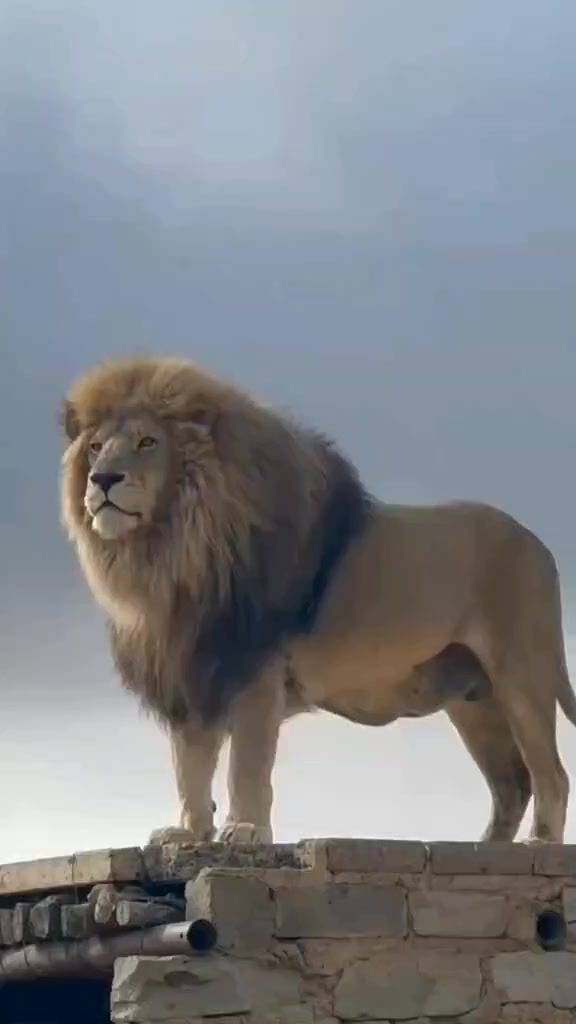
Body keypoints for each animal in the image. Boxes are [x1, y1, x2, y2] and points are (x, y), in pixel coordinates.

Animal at [60, 355, 576, 846]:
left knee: (550, 773)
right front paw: (189, 832)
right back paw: (489, 848)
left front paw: (245, 830)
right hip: (471, 696)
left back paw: (538, 844)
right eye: (95, 447)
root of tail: (540, 545)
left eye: (148, 442)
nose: (103, 479)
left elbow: (246, 765)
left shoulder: (254, 671)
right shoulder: (190, 673)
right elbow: (190, 765)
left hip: (523, 672)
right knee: (512, 782)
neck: (170, 554)